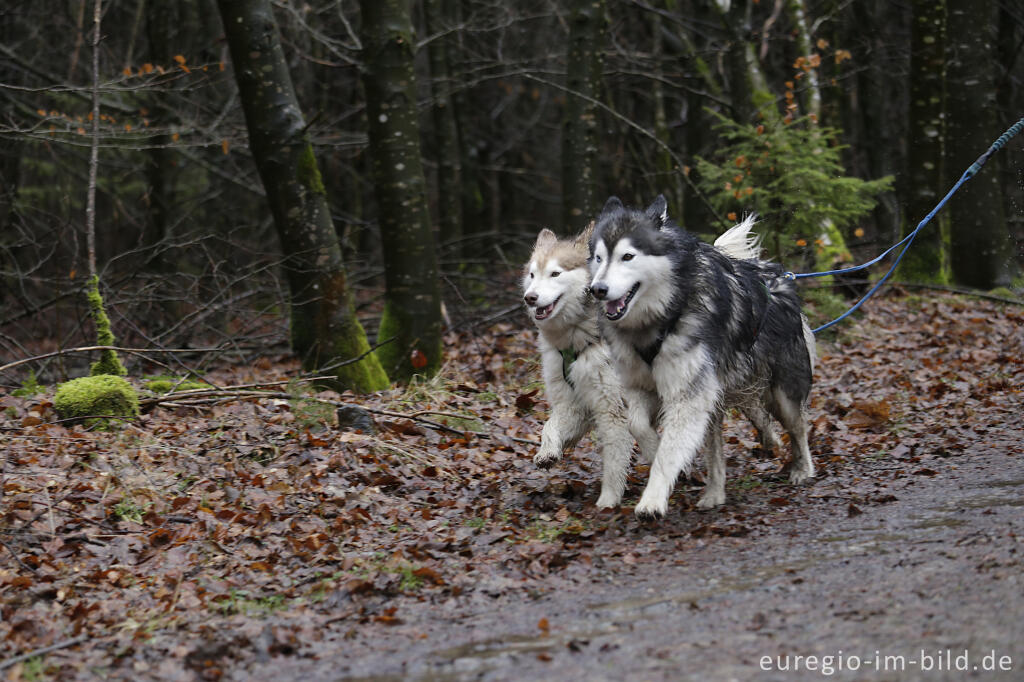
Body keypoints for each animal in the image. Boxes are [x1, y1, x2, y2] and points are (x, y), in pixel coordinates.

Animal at [524, 215, 778, 507]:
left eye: (555, 274)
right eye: (532, 275)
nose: (529, 297)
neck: (581, 339)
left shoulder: (614, 409)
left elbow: (616, 458)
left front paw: (608, 500)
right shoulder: (575, 402)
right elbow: (549, 426)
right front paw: (548, 452)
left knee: (754, 405)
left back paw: (773, 439)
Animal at [589, 195, 811, 516]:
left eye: (627, 256)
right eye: (598, 257)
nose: (597, 289)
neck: (663, 313)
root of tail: (775, 278)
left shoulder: (688, 394)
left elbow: (670, 450)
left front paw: (652, 499)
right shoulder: (642, 386)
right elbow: (638, 425)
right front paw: (656, 452)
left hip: (782, 392)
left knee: (797, 427)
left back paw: (802, 467)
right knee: (743, 422)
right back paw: (719, 489)